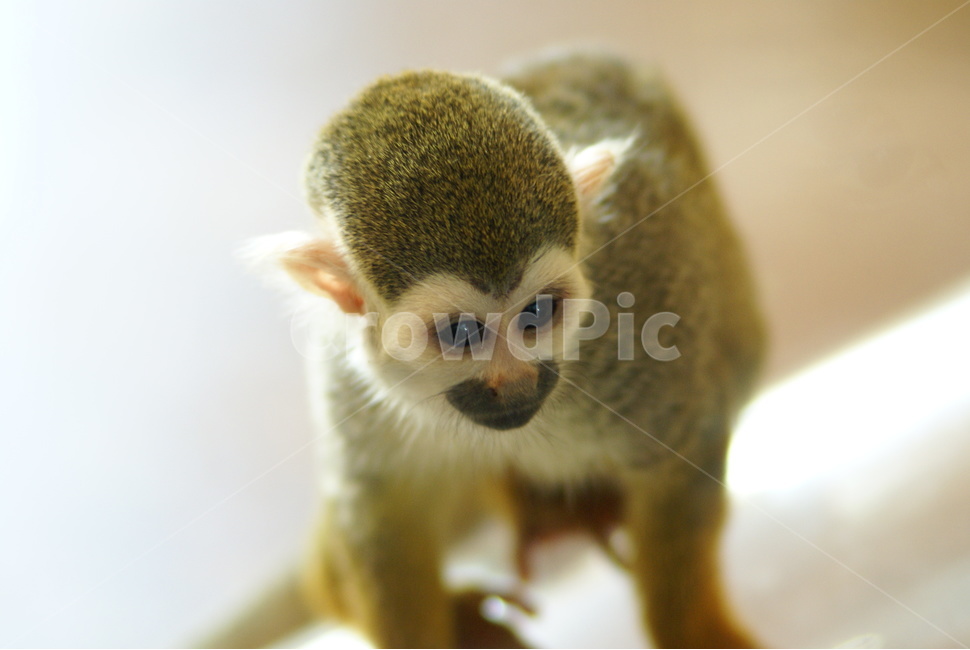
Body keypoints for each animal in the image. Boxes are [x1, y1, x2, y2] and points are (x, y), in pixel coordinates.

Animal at [202, 50, 765, 648]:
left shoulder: (643, 317)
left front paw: (694, 633)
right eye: (461, 334)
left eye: (537, 312)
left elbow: (683, 459)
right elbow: (383, 515)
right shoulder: (347, 373)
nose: (513, 384)